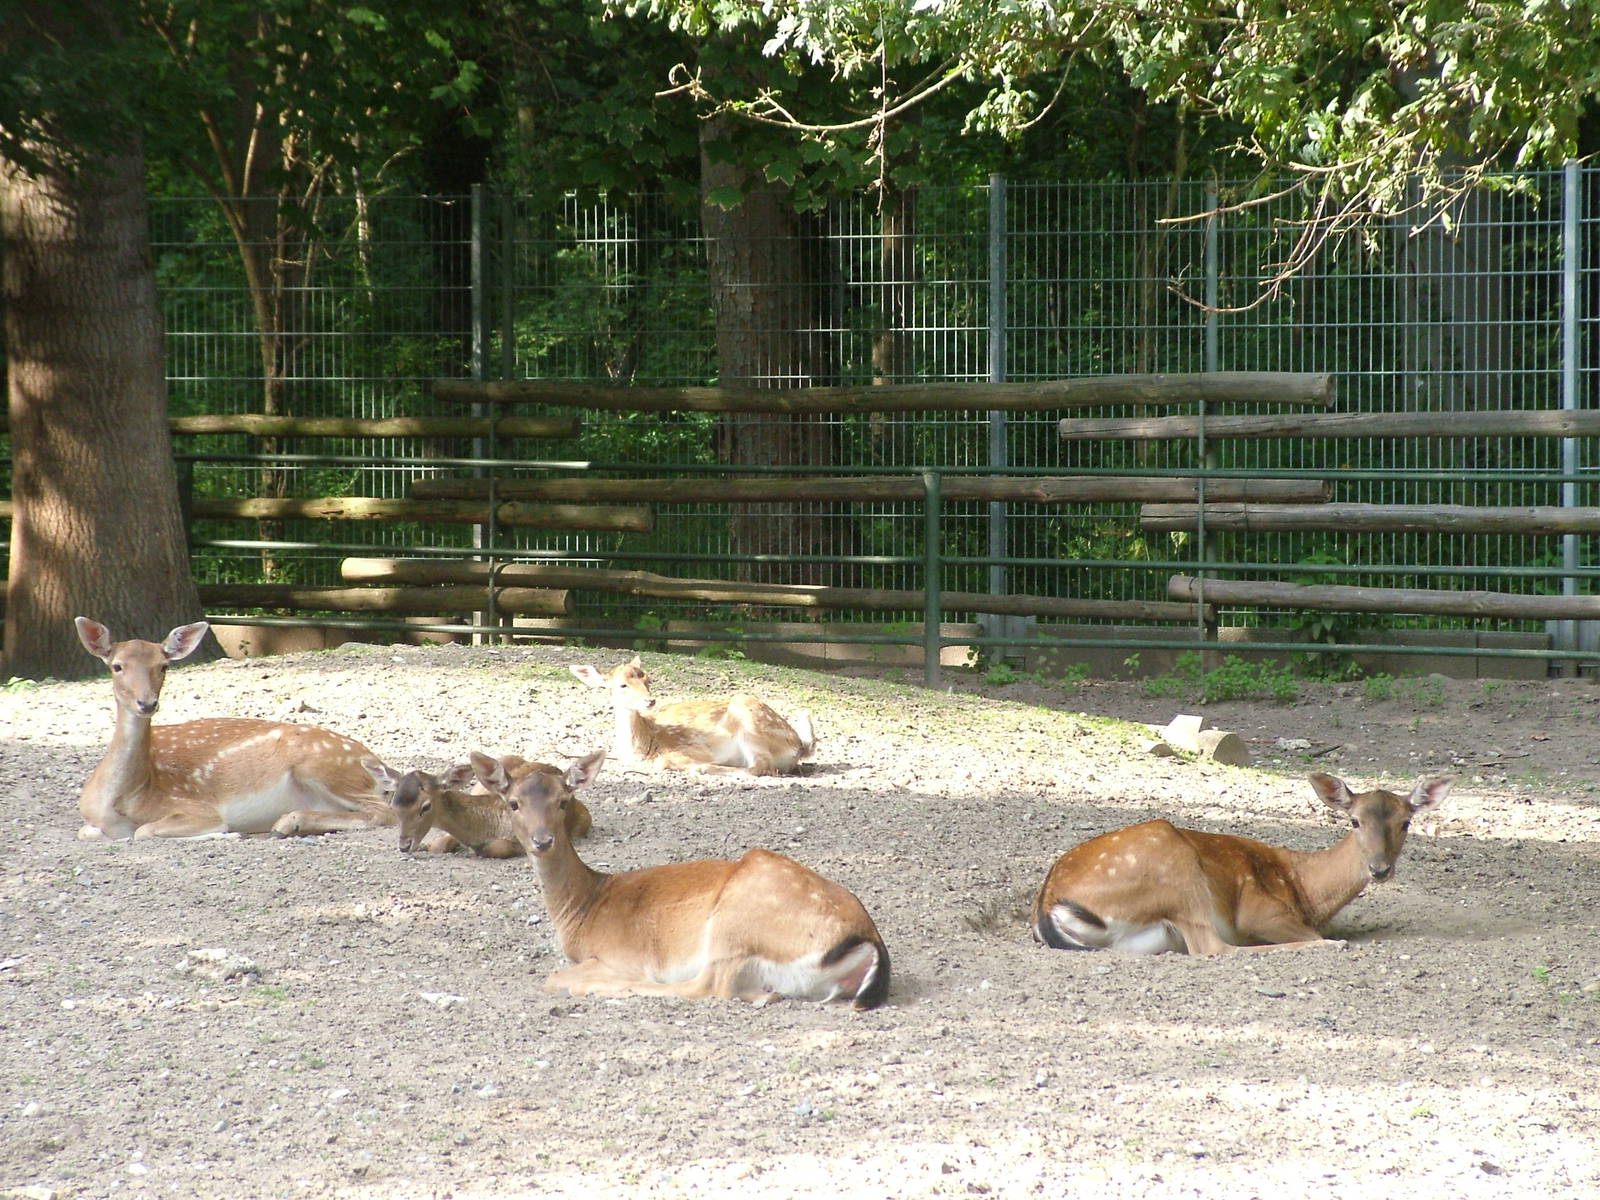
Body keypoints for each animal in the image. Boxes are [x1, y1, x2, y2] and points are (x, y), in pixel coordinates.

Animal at [74, 617, 395, 839]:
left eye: (163, 666)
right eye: (116, 666)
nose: (147, 703)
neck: (120, 800)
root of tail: (375, 761)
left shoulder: (197, 808)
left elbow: (144, 831)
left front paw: (228, 833)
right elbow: (87, 832)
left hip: (323, 765)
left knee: (384, 811)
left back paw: (286, 822)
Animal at [365, 759, 592, 857]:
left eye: (425, 806)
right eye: (394, 805)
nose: (404, 846)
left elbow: (496, 848)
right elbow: (439, 844)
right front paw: (427, 846)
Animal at [471, 748, 890, 1009]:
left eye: (563, 801)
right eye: (514, 803)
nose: (543, 841)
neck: (582, 912)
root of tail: (867, 941)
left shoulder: (621, 953)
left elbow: (554, 976)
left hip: (736, 922)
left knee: (706, 987)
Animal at [568, 656, 814, 776]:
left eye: (648, 681)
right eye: (622, 685)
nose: (650, 701)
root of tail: (799, 746)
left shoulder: (693, 748)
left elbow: (664, 761)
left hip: (750, 723)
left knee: (761, 767)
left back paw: (705, 768)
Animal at [1031, 772, 1453, 955]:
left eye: (1406, 822)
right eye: (1354, 821)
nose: (1380, 869)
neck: (1305, 889)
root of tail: (1048, 903)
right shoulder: (1260, 909)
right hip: (1175, 868)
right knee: (1214, 948)